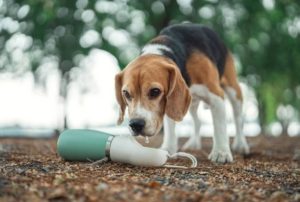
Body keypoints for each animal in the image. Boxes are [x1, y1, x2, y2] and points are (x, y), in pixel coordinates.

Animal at [115, 23, 248, 163]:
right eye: (126, 94)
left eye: (155, 91)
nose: (135, 125)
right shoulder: (168, 103)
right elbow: (170, 128)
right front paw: (168, 148)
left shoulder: (216, 96)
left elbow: (220, 127)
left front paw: (221, 152)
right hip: (191, 102)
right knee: (197, 121)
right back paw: (193, 143)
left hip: (234, 91)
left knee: (238, 118)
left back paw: (240, 144)